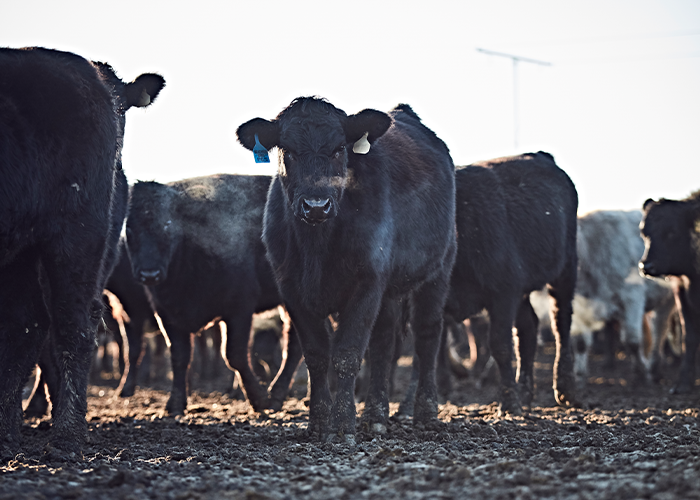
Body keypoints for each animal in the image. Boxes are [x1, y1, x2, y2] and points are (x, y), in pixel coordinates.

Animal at [0, 47, 163, 458]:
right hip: (23, 248)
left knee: (72, 326)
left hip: (74, 235)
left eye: (128, 107)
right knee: (29, 325)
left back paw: (65, 434)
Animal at [126, 174, 300, 416]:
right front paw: (175, 404)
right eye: (129, 229)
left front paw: (259, 399)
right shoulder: (168, 315)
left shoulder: (238, 309)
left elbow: (234, 356)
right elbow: (179, 357)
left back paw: (275, 396)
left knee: (293, 345)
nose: (149, 274)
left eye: (168, 225)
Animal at [238, 97, 456, 442]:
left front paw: (342, 424)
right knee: (384, 343)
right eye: (287, 150)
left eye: (339, 149)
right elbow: (316, 355)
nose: (316, 205)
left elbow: (347, 353)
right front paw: (318, 422)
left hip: (438, 270)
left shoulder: (366, 282)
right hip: (388, 289)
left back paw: (425, 412)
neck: (317, 246)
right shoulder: (292, 289)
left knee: (427, 336)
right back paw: (376, 415)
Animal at [442, 152, 580, 414]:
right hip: (522, 290)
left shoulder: (502, 294)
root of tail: (542, 156)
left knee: (561, 321)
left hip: (565, 269)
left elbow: (500, 345)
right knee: (528, 328)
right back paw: (525, 392)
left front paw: (508, 402)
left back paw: (565, 387)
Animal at [640, 193, 700, 392]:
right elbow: (689, 338)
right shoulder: (682, 294)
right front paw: (683, 383)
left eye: (672, 232)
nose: (646, 266)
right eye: (644, 232)